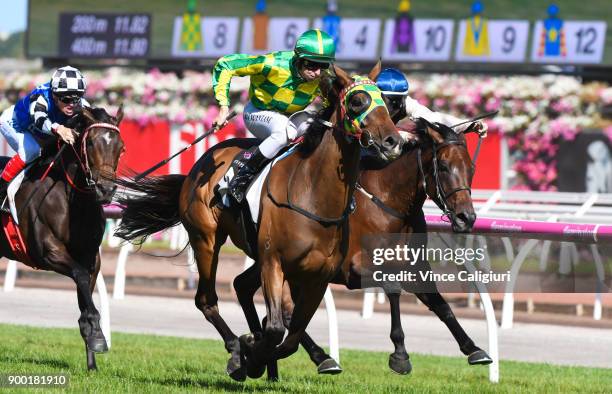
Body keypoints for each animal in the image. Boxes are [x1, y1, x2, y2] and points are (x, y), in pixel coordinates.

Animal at [0, 105, 124, 370]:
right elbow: (79, 276)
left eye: (121, 147)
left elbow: (85, 291)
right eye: (90, 143)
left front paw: (93, 354)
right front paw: (97, 332)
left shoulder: (91, 259)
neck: (74, 203)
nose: (106, 190)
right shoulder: (48, 252)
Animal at [115, 63, 404, 380]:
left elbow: (290, 336)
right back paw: (235, 349)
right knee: (206, 299)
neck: (314, 195)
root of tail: (201, 163)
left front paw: (269, 353)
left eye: (384, 100)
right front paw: (250, 355)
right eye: (356, 101)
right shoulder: (273, 262)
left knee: (241, 286)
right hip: (206, 239)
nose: (393, 141)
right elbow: (277, 328)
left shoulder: (318, 276)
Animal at [233, 119, 492, 378]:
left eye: (471, 169)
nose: (466, 218)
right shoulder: (355, 269)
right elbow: (393, 289)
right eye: (445, 167)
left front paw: (474, 349)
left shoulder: (414, 268)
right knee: (285, 313)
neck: (388, 203)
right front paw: (400, 355)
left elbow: (441, 305)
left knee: (247, 288)